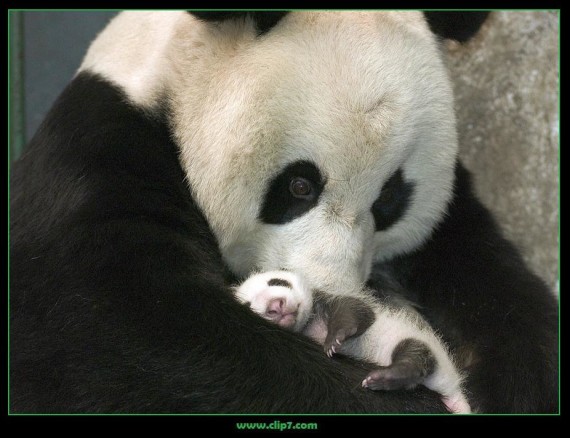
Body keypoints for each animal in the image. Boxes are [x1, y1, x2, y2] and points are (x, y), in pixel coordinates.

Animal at [11, 11, 556, 414]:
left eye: (388, 200)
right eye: (300, 185)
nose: (329, 291)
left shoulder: (452, 223)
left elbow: (503, 298)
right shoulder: (98, 162)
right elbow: (127, 339)